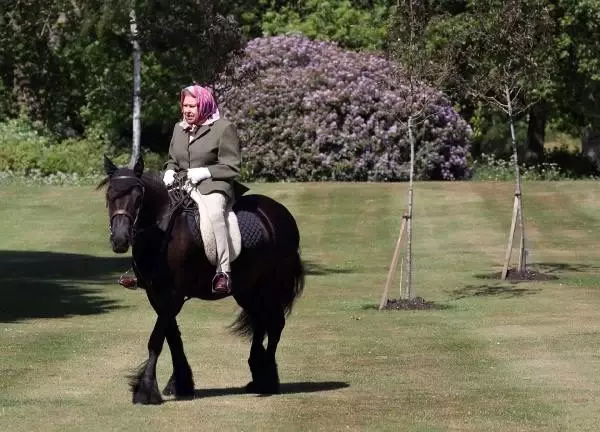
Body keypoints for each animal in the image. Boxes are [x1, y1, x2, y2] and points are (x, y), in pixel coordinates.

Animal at [101, 156, 304, 404]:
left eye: (138, 196)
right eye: (109, 195)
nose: (120, 240)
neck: (162, 231)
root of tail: (280, 213)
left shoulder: (174, 294)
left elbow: (157, 338)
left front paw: (146, 390)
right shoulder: (156, 294)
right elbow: (172, 336)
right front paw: (180, 383)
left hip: (271, 285)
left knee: (275, 324)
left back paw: (267, 380)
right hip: (247, 289)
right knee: (261, 321)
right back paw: (258, 375)